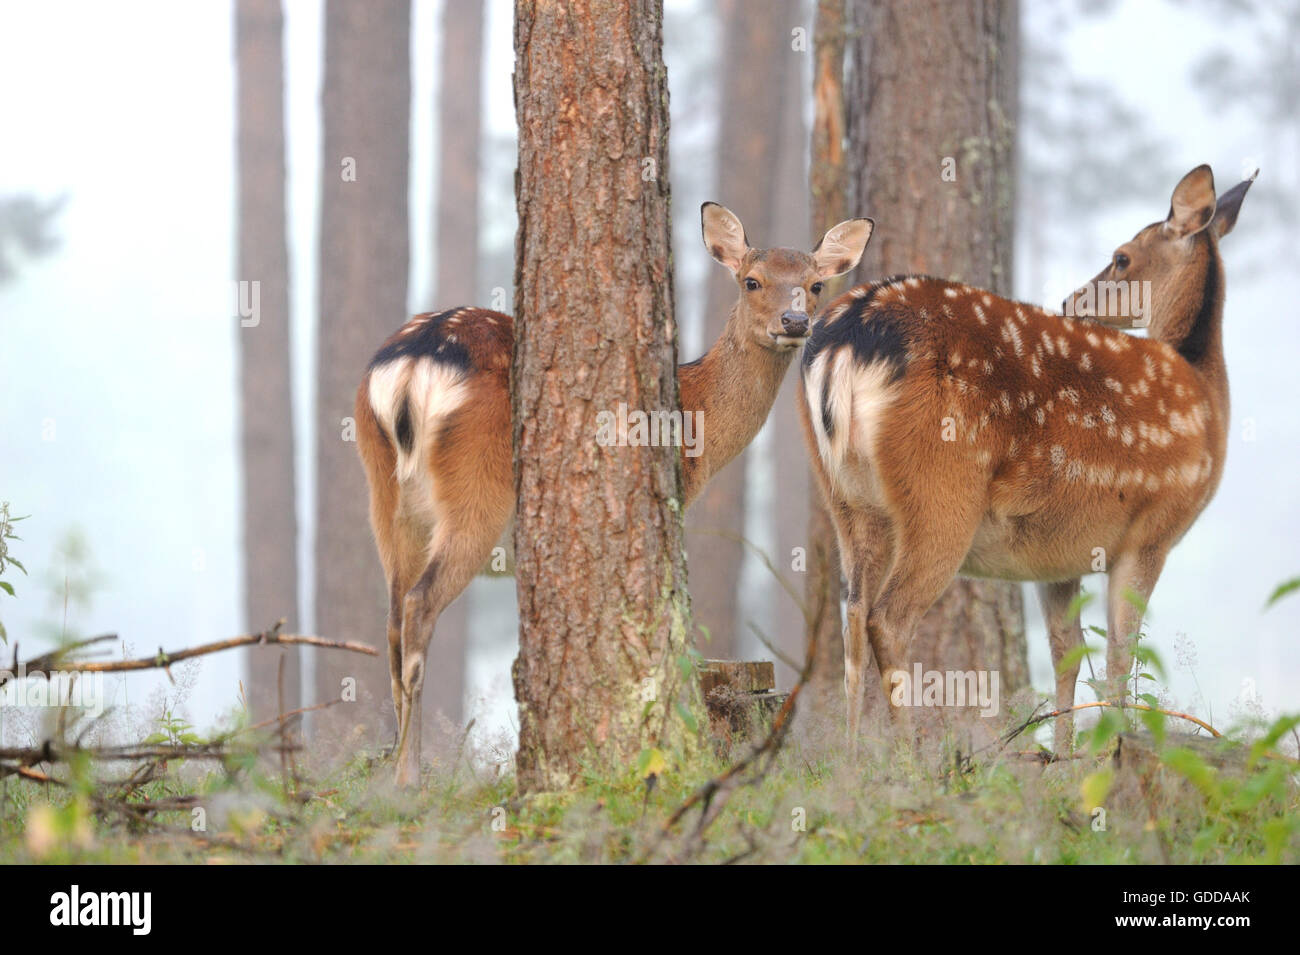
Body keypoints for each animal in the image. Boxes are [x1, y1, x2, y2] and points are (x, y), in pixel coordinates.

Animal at [356, 201, 873, 784]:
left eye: (815, 284)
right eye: (752, 281)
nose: (794, 322)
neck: (695, 422)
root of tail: (409, 369)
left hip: (384, 494)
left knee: (393, 620)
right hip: (476, 490)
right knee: (419, 606)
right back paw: (410, 775)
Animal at [795, 167, 1253, 758]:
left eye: (1121, 257)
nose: (1072, 300)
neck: (1205, 395)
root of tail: (846, 338)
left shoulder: (1057, 554)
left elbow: (1068, 652)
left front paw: (1065, 754)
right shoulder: (1153, 529)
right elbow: (1120, 653)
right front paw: (1111, 748)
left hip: (843, 495)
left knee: (851, 614)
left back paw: (852, 760)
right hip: (942, 490)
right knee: (888, 618)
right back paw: (911, 758)